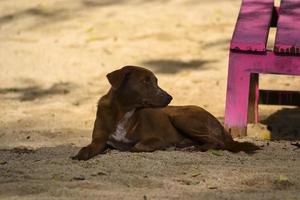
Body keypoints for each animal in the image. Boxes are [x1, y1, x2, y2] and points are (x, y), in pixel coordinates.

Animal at [72, 66, 258, 160]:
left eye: (156, 81)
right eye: (145, 81)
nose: (170, 97)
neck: (124, 112)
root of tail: (219, 123)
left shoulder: (155, 139)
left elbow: (137, 146)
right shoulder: (99, 140)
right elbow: (88, 148)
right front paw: (81, 154)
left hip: (181, 118)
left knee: (218, 142)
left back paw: (195, 148)